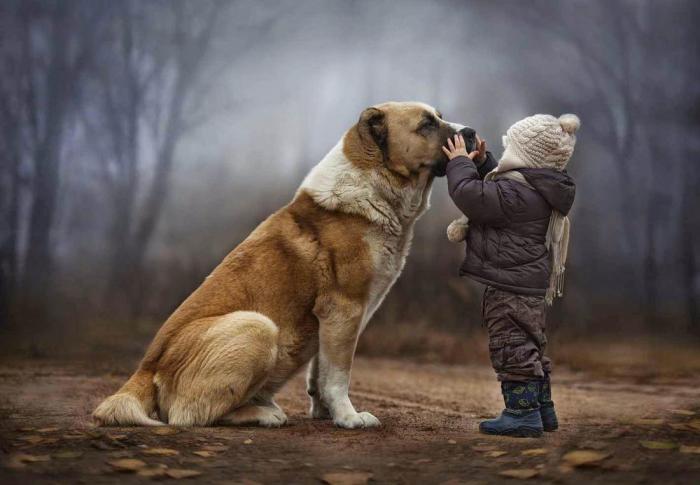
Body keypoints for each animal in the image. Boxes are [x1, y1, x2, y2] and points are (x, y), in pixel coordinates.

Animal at [93, 101, 474, 428]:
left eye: (440, 117)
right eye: (426, 124)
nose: (470, 132)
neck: (375, 184)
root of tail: (144, 369)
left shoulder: (332, 320)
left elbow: (320, 372)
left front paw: (325, 413)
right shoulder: (344, 309)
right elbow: (339, 374)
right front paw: (349, 418)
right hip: (258, 326)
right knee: (189, 415)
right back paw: (264, 414)